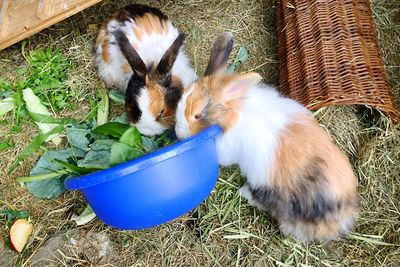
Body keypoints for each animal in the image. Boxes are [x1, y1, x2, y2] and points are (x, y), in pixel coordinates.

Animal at [176, 32, 360, 242]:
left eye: (197, 115)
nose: (178, 132)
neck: (233, 112)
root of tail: (340, 220)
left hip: (268, 191)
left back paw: (244, 192)